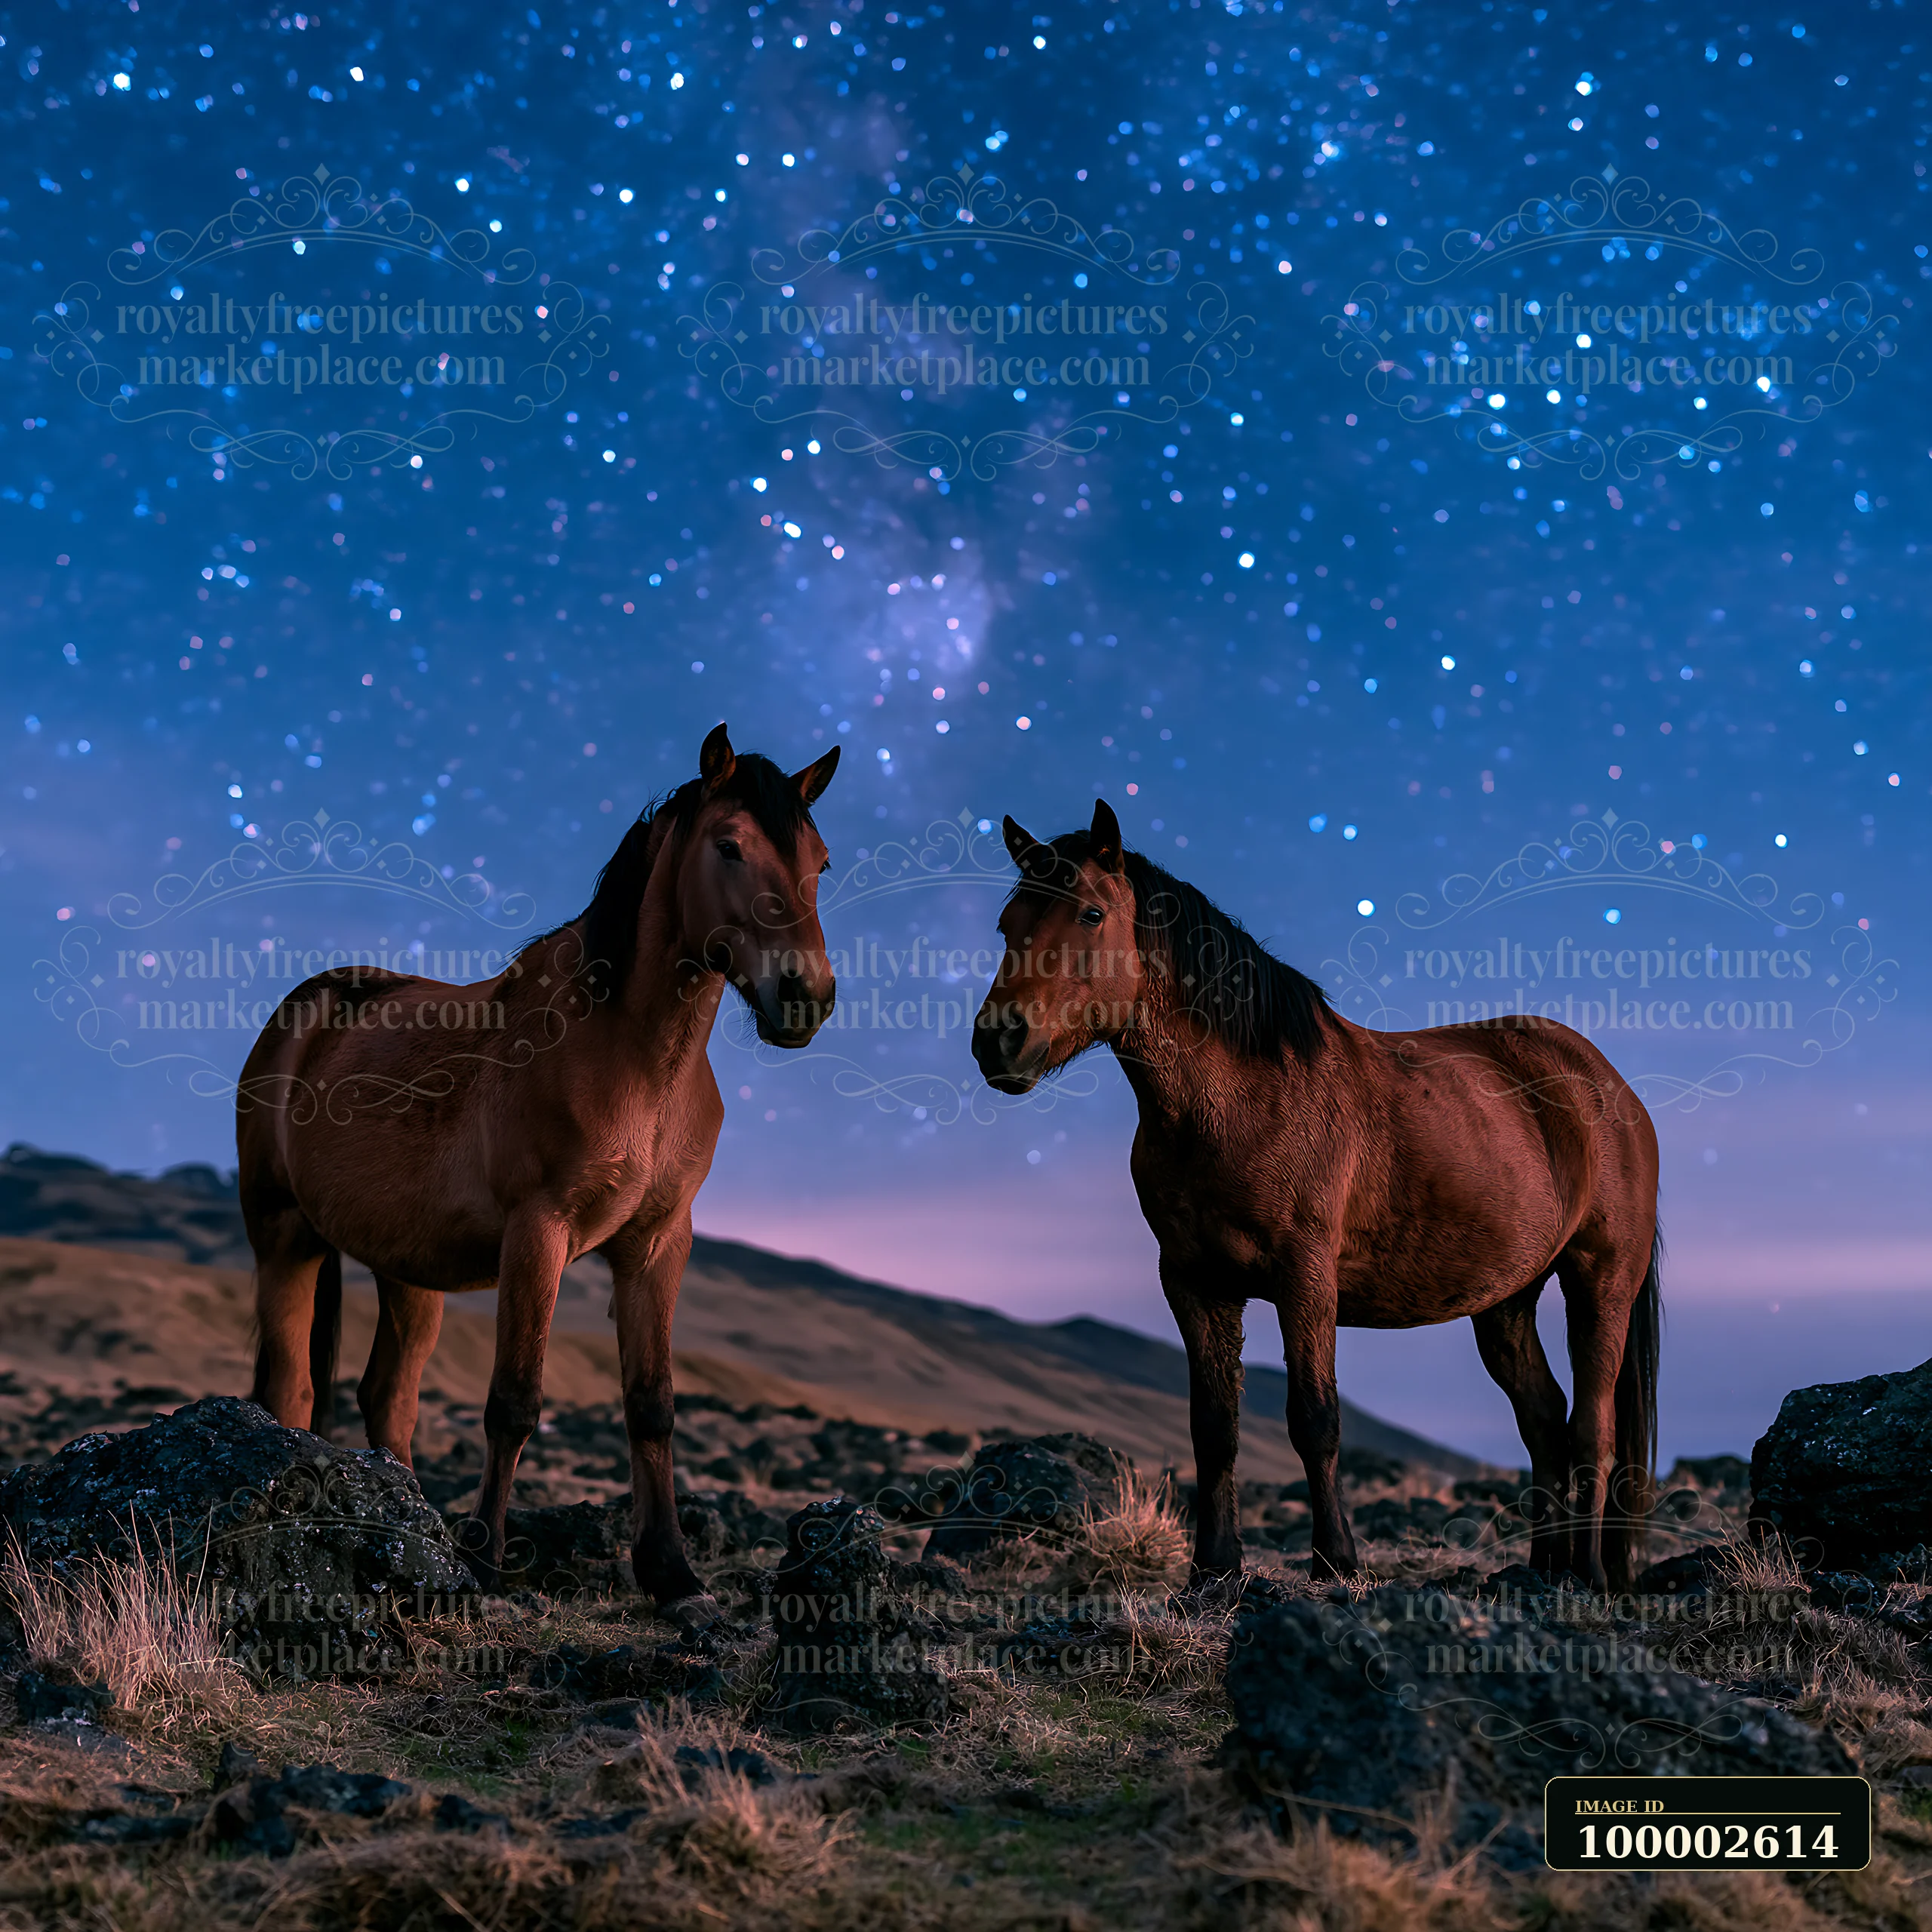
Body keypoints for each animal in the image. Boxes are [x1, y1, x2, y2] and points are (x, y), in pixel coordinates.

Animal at [237, 724, 839, 1614]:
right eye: (729, 846)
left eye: (821, 861)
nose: (806, 997)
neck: (635, 1058)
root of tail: (306, 1010)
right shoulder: (538, 1233)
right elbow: (514, 1402)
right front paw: (487, 1565)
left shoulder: (658, 1245)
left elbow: (651, 1404)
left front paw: (672, 1573)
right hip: (285, 1240)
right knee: (290, 1393)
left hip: (407, 1273)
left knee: (389, 1397)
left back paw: (413, 1529)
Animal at [971, 799, 1662, 1592]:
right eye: (1008, 924)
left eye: (1090, 914)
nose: (997, 1042)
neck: (1237, 1099)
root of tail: (1607, 1086)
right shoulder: (1194, 1281)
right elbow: (1215, 1428)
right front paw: (1213, 1570)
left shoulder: (1304, 1278)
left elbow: (1314, 1418)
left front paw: (1337, 1562)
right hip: (1507, 1299)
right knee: (1544, 1417)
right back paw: (1545, 1569)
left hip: (1600, 1280)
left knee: (1592, 1428)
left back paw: (1590, 1573)